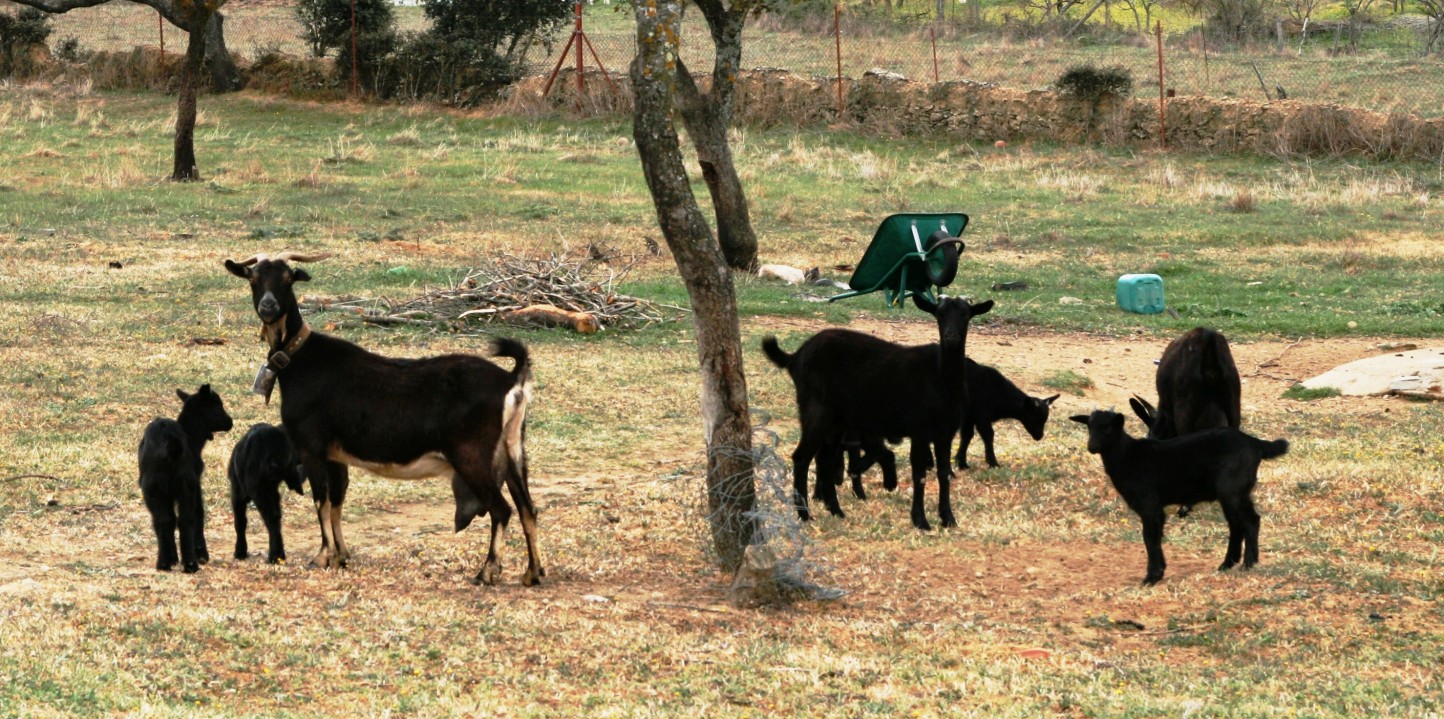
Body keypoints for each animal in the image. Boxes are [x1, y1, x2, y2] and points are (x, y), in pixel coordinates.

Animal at [139, 384, 235, 574]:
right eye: (217, 405)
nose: (230, 422)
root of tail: (171, 443)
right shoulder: (196, 480)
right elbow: (199, 513)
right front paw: (201, 554)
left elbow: (168, 518)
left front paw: (173, 557)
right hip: (186, 483)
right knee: (186, 519)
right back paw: (191, 563)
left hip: (152, 486)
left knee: (163, 520)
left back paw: (163, 564)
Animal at [226, 424, 306, 565]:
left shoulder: (236, 491)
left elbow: (239, 522)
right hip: (266, 492)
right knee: (273, 519)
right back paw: (276, 556)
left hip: (251, 493)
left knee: (250, 520)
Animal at [762, 294, 987, 531]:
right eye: (939, 315)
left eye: (965, 315)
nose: (951, 337)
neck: (941, 378)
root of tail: (795, 356)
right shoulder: (920, 431)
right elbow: (919, 475)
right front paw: (921, 520)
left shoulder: (945, 433)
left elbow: (944, 474)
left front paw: (948, 518)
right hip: (816, 412)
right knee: (801, 457)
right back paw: (804, 515)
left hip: (836, 422)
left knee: (824, 459)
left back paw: (835, 510)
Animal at [1074, 410, 1288, 583]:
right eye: (1089, 426)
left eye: (1108, 427)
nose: (1091, 446)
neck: (1128, 456)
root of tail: (1256, 444)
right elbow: (1155, 537)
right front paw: (1159, 572)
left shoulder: (1150, 505)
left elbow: (1149, 538)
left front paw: (1152, 577)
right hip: (1231, 493)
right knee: (1236, 524)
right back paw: (1227, 564)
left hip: (1233, 489)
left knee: (1251, 521)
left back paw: (1248, 564)